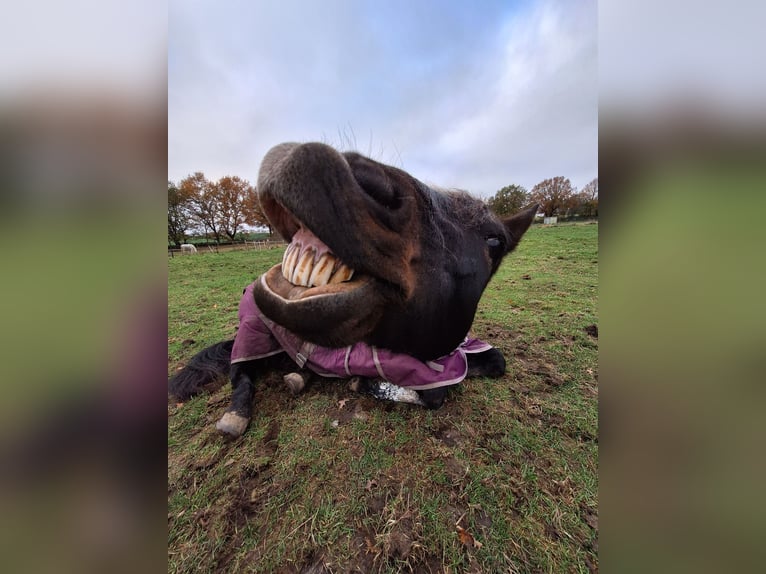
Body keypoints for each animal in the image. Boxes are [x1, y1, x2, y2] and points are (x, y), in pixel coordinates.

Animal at [170, 144, 536, 436]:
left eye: (495, 241)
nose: (356, 171)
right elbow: (434, 395)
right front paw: (367, 384)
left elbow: (495, 361)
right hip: (252, 333)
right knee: (241, 373)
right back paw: (236, 415)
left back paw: (298, 377)